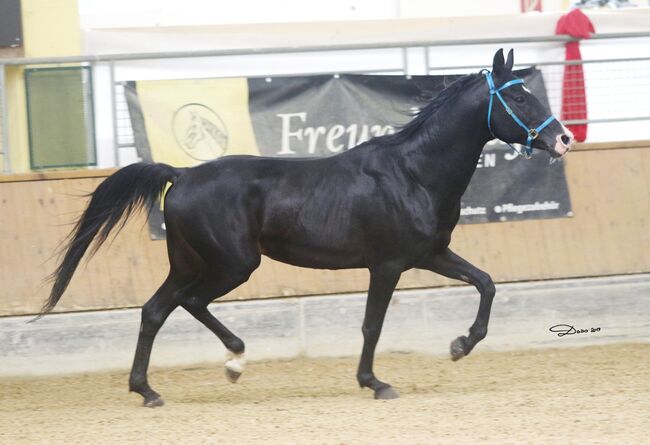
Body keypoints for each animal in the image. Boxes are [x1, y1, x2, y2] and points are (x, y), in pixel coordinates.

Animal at [41, 49, 572, 406]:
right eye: (518, 95)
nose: (564, 138)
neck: (412, 173)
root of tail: (183, 173)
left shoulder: (431, 255)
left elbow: (486, 282)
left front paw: (461, 345)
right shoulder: (388, 265)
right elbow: (373, 324)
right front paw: (376, 384)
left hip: (191, 262)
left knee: (156, 310)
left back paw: (150, 389)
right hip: (233, 263)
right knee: (187, 303)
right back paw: (230, 363)